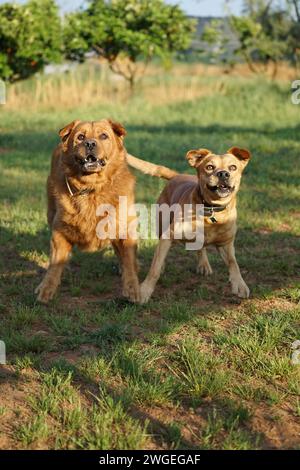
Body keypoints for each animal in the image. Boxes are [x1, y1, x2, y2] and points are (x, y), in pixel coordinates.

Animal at [35, 117, 144, 302]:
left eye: (103, 136)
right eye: (80, 137)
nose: (90, 143)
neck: (93, 188)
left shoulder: (124, 229)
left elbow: (128, 261)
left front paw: (132, 288)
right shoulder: (59, 231)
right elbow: (54, 264)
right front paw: (47, 287)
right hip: (51, 213)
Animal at [140, 147, 251, 302]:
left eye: (233, 167)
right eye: (209, 167)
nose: (223, 174)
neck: (211, 211)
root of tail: (177, 176)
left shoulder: (225, 243)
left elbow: (233, 263)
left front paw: (240, 284)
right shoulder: (168, 236)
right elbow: (154, 268)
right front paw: (144, 290)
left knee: (201, 248)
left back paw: (203, 264)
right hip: (161, 225)